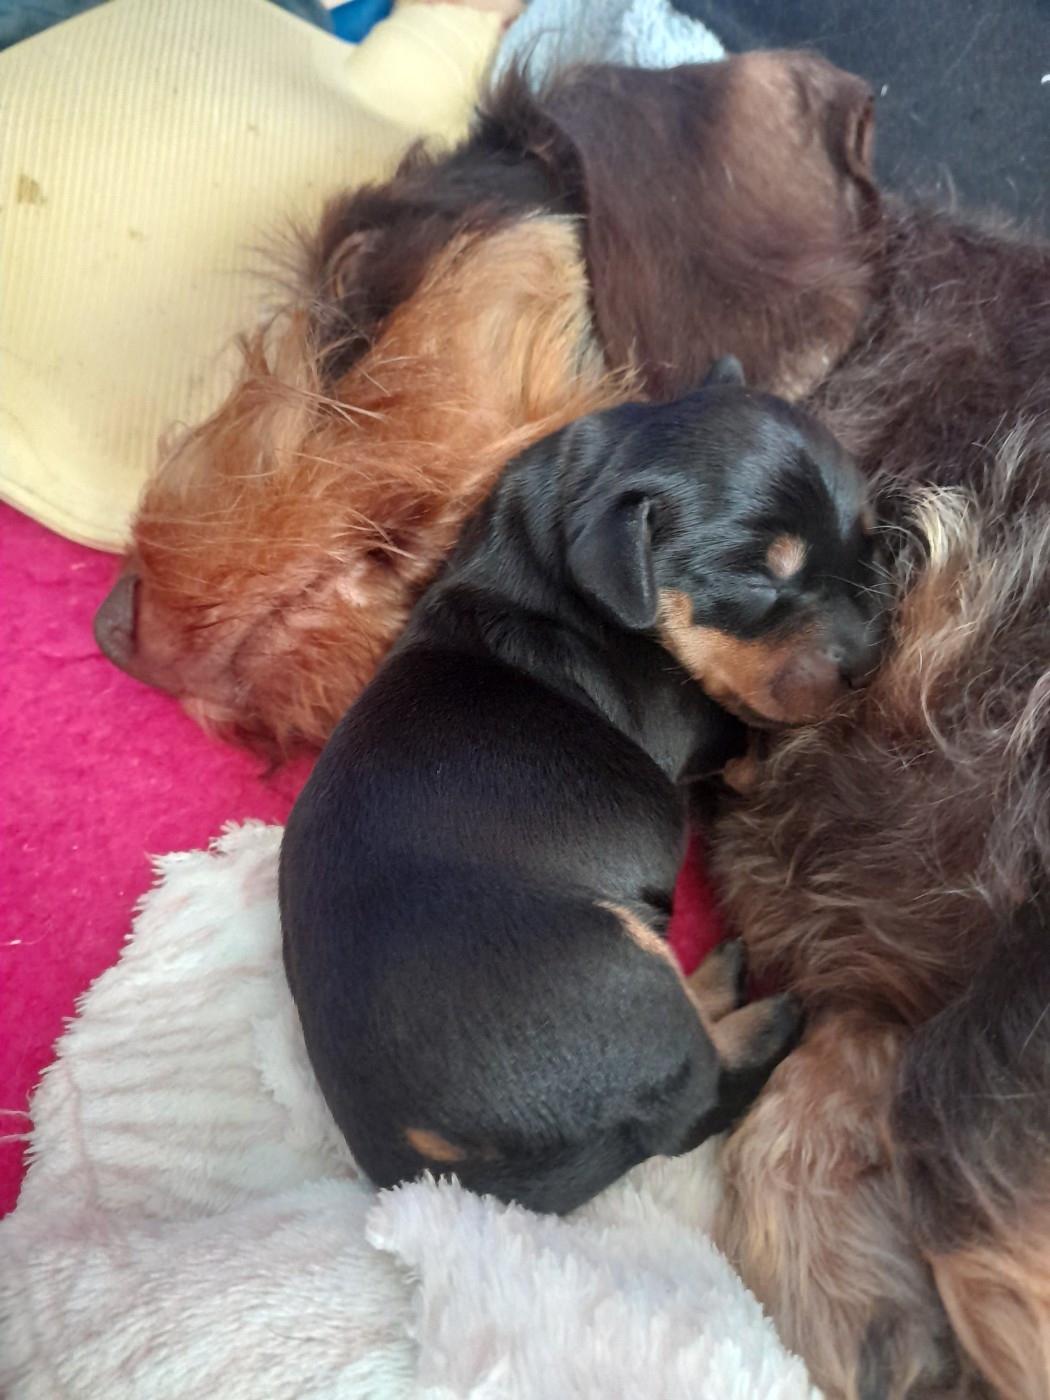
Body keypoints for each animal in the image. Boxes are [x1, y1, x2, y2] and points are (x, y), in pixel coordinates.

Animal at [279, 362, 885, 1214]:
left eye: (867, 546)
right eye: (762, 579)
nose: (870, 661)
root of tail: (431, 1161)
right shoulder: (692, 718)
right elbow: (745, 728)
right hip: (614, 968)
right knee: (685, 1099)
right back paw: (769, 1013)